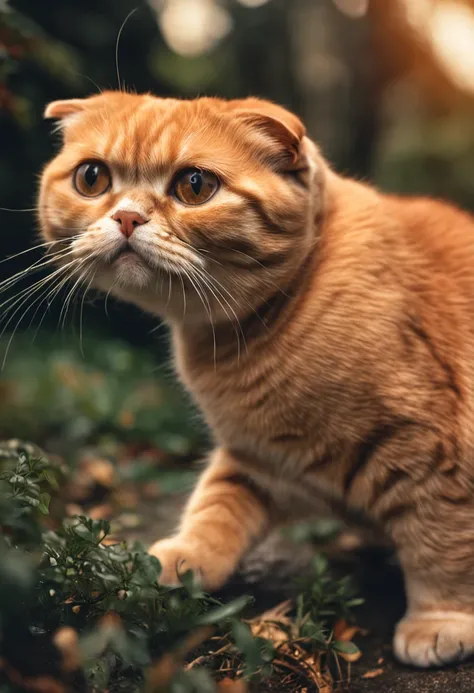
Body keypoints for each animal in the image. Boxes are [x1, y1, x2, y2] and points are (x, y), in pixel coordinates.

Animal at [38, 90, 474, 664]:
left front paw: (438, 620)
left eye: (194, 185)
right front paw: (179, 563)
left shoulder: (427, 454)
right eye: (92, 178)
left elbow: (439, 540)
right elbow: (214, 509)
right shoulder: (254, 457)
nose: (127, 216)